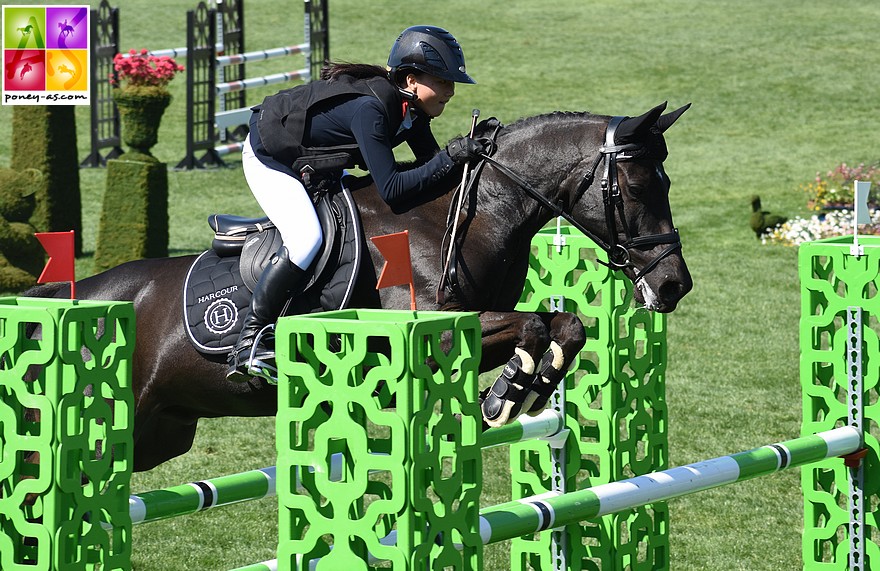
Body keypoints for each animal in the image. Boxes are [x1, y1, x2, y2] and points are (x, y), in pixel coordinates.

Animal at [24, 100, 692, 472]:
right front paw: (503, 396)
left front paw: (524, 388)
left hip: (155, 434)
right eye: (638, 188)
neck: (461, 214)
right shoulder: (429, 332)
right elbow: (530, 323)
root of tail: (71, 299)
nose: (674, 286)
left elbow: (565, 323)